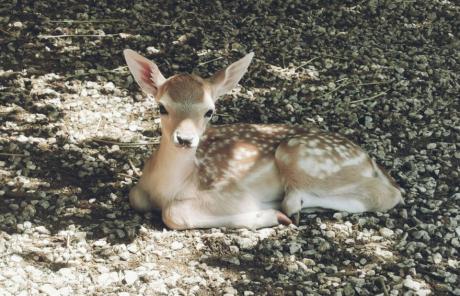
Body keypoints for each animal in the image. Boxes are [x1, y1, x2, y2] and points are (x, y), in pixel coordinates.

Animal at [123, 49, 402, 229]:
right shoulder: (139, 192)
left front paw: (266, 216)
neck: (167, 187)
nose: (185, 138)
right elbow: (134, 197)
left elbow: (173, 213)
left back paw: (288, 208)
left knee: (387, 195)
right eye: (161, 107)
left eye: (209, 111)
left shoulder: (234, 193)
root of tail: (371, 163)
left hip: (298, 153)